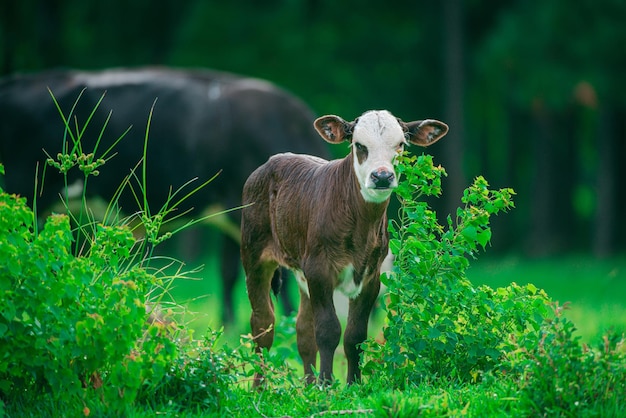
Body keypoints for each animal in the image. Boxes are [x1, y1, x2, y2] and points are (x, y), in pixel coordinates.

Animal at [240, 109, 448, 384]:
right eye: (359, 145)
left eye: (400, 145)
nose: (382, 176)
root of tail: (272, 161)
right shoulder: (319, 270)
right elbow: (328, 330)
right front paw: (326, 385)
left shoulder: (371, 277)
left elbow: (355, 336)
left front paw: (353, 385)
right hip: (254, 256)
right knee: (263, 324)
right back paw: (260, 386)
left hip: (302, 272)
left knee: (303, 330)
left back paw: (307, 384)